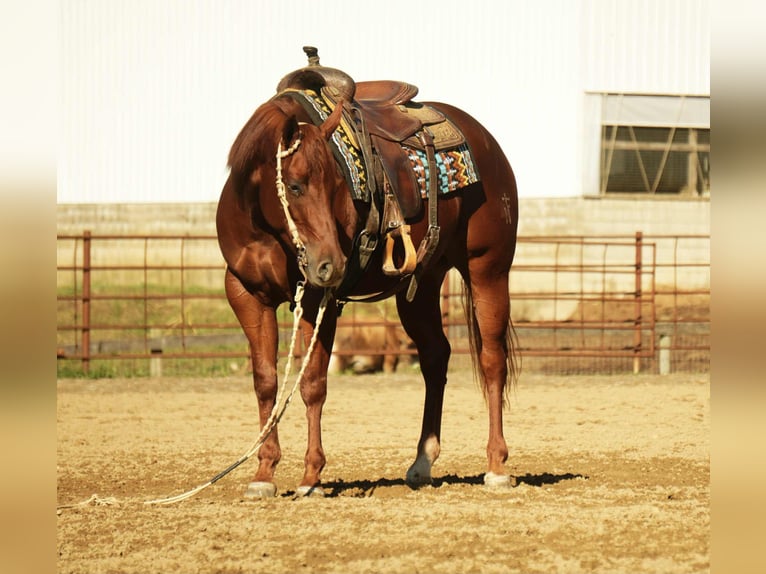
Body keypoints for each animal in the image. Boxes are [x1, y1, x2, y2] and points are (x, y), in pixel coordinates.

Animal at [216, 49, 519, 497]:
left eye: (337, 185)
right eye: (294, 185)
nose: (331, 264)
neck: (266, 228)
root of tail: (487, 141)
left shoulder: (318, 297)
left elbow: (312, 382)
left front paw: (311, 476)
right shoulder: (245, 294)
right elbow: (266, 380)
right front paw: (264, 473)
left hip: (488, 269)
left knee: (492, 359)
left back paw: (496, 465)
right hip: (422, 285)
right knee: (435, 357)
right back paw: (422, 461)